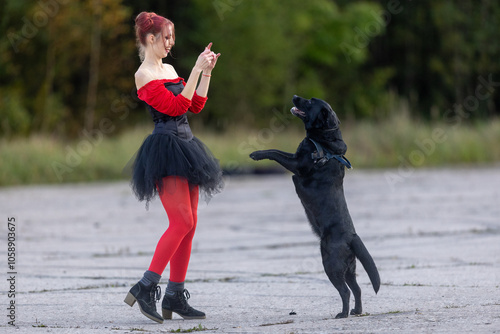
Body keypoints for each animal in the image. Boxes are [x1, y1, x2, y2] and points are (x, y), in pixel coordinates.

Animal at [250, 96, 378, 318]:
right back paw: (356, 311)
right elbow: (279, 150)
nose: (294, 96)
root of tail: (352, 237)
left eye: (310, 102)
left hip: (331, 264)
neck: (325, 142)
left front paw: (257, 154)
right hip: (349, 268)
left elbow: (274, 152)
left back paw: (342, 314)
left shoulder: (297, 165)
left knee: (345, 291)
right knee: (357, 288)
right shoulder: (294, 157)